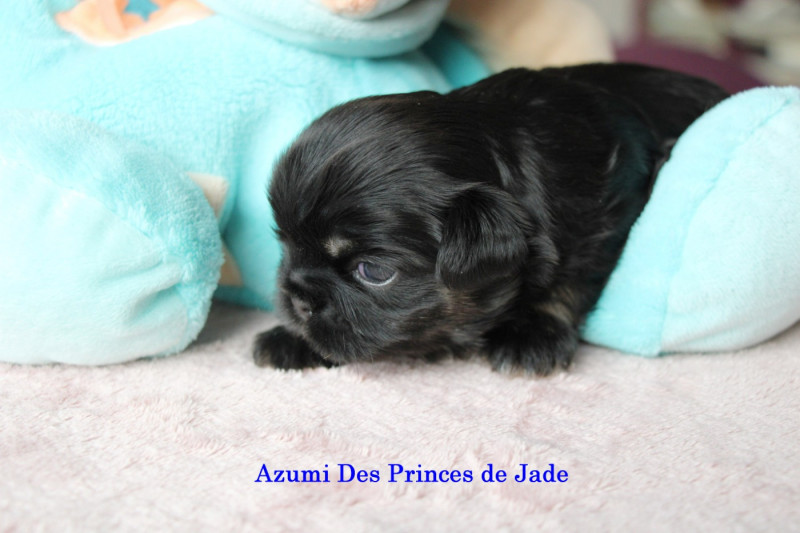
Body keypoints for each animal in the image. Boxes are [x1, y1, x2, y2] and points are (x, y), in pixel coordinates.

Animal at [253, 63, 728, 375]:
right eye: (287, 246)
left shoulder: (604, 217)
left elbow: (569, 282)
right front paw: (291, 339)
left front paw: (532, 334)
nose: (296, 298)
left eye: (372, 271)